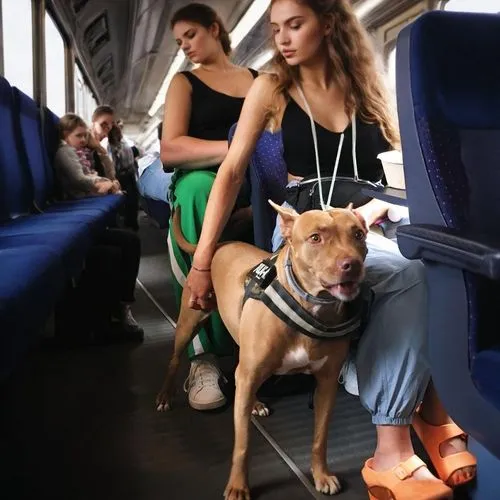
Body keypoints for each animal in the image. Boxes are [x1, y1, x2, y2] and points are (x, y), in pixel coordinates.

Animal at [156, 201, 368, 498]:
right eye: (315, 237)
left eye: (358, 234)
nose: (352, 265)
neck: (308, 307)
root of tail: (220, 243)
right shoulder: (248, 376)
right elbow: (243, 443)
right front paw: (237, 485)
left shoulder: (326, 383)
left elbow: (320, 436)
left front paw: (321, 474)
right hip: (190, 321)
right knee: (175, 360)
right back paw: (165, 396)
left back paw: (255, 402)